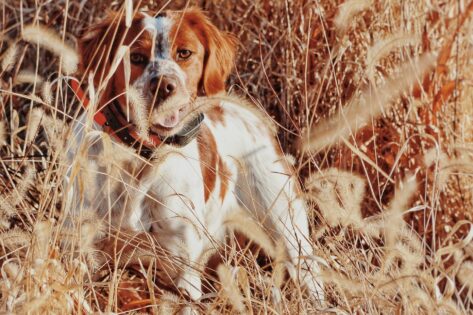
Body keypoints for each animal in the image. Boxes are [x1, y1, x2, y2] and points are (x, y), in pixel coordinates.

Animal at [67, 6, 324, 304]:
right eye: (136, 57)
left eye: (185, 53)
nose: (164, 85)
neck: (142, 156)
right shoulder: (84, 249)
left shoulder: (181, 263)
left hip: (288, 229)